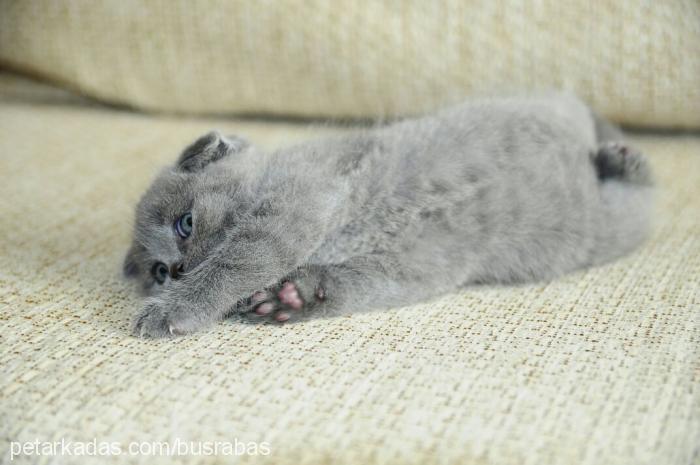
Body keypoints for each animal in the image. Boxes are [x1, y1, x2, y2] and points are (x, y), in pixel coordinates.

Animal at [123, 93, 652, 338]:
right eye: (160, 272)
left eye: (185, 223)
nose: (179, 270)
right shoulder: (412, 268)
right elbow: (358, 284)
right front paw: (293, 297)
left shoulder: (302, 196)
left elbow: (238, 259)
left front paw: (173, 311)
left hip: (615, 217)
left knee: (645, 187)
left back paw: (622, 160)